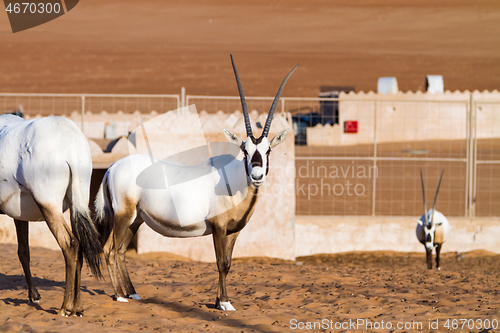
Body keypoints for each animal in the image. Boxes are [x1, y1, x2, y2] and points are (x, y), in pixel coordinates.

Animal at [0, 115, 103, 316]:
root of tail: (71, 144)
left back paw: (66, 308)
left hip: (49, 205)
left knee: (69, 244)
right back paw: (77, 308)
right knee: (79, 245)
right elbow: (23, 251)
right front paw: (34, 296)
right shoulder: (19, 216)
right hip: (77, 202)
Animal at [95, 54, 298, 312]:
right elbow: (221, 263)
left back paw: (134, 294)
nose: (257, 175)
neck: (233, 181)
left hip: (136, 220)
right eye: (245, 150)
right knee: (110, 250)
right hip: (123, 216)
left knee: (120, 251)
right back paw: (120, 296)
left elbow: (228, 262)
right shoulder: (219, 228)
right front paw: (224, 303)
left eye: (268, 150)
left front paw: (219, 301)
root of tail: (112, 167)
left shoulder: (234, 231)